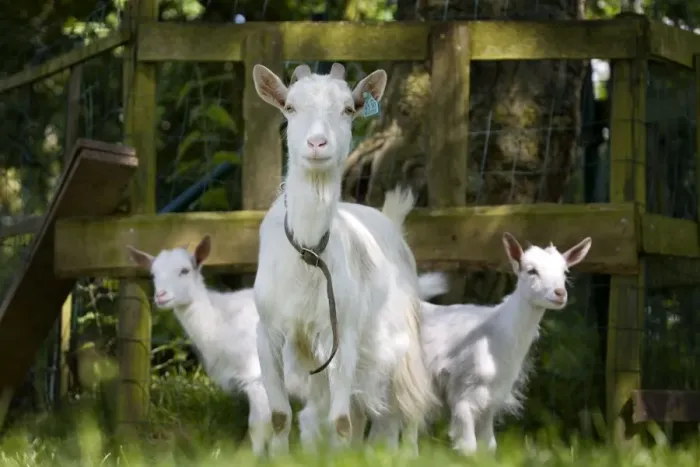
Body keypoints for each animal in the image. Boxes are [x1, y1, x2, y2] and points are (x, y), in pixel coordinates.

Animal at [251, 62, 437, 454]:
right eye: (290, 107)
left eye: (348, 109)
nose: (317, 144)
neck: (308, 252)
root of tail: (390, 220)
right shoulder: (269, 331)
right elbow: (281, 416)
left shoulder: (344, 334)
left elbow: (339, 421)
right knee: (359, 411)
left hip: (401, 338)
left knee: (409, 401)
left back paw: (409, 452)